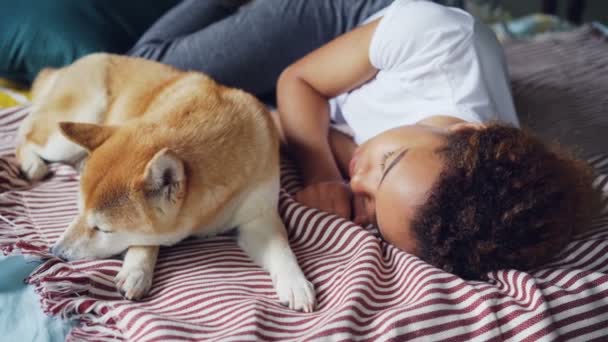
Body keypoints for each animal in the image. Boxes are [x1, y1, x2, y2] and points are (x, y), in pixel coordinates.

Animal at [14, 53, 316, 312]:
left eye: (103, 229)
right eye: (78, 212)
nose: (56, 252)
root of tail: (68, 66)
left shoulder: (259, 216)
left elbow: (281, 247)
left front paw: (295, 282)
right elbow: (146, 240)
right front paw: (137, 270)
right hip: (68, 133)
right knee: (26, 134)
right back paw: (31, 163)